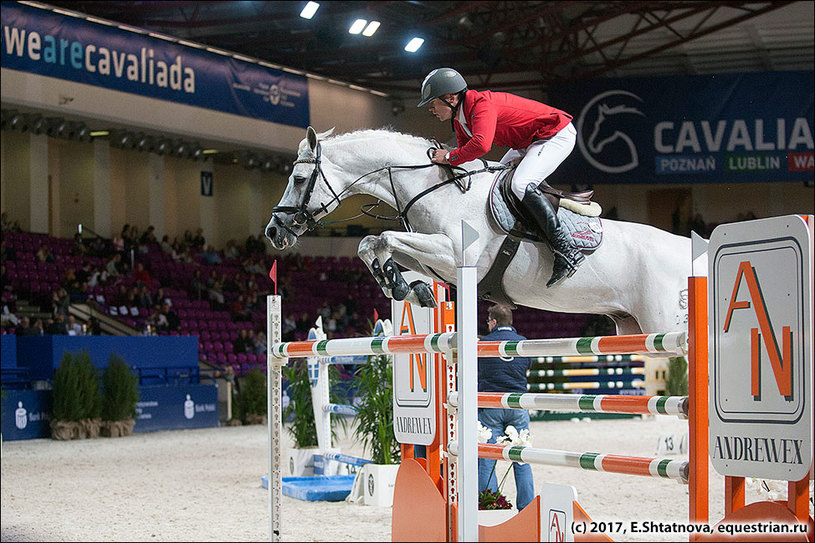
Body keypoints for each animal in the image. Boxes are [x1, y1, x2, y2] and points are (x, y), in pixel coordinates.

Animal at [268, 127, 696, 336]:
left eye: (299, 178)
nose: (274, 231)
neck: (435, 186)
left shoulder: (455, 254)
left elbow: (383, 239)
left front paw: (398, 283)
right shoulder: (432, 256)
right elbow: (370, 243)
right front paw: (406, 286)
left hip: (667, 328)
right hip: (633, 326)